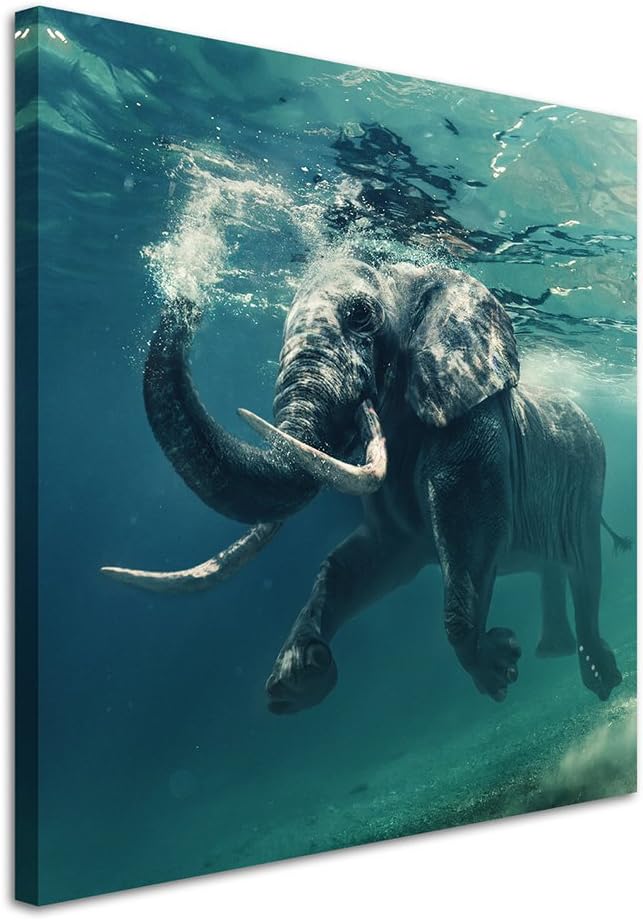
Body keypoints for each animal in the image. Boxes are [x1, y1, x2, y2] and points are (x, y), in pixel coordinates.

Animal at [102, 258, 629, 714]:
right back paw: (554, 654)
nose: (188, 301)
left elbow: (470, 534)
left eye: (361, 316)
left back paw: (599, 677)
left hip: (589, 482)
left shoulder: (473, 429)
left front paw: (497, 668)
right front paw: (299, 676)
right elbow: (364, 561)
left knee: (586, 568)